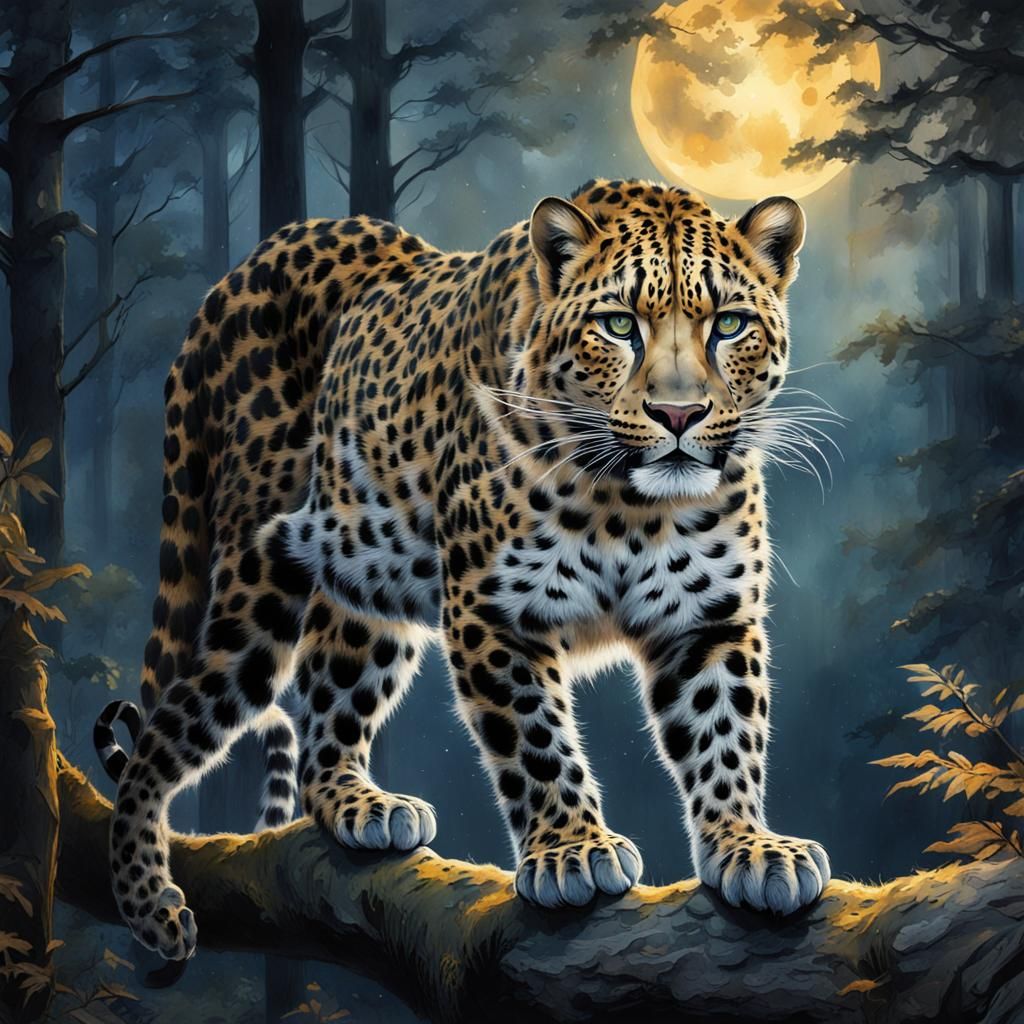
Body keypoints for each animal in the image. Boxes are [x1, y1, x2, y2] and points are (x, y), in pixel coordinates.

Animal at [95, 178, 831, 962]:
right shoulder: (496, 611)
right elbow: (535, 740)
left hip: (364, 587)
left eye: (729, 325)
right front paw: (571, 851)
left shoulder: (708, 620)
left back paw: (359, 804)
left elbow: (725, 733)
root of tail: (242, 270)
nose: (679, 413)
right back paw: (148, 901)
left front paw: (749, 848)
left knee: (327, 711)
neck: (632, 507)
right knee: (163, 735)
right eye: (617, 325)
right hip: (253, 583)